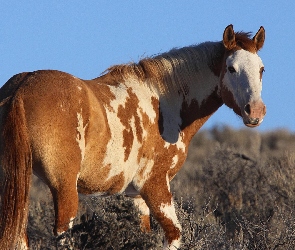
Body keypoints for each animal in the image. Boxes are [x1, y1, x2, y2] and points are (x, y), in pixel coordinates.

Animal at [0, 23, 268, 250]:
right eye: (231, 68)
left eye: (262, 69)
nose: (255, 111)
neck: (165, 102)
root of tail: (21, 89)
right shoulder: (155, 185)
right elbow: (174, 235)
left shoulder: (135, 196)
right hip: (64, 187)